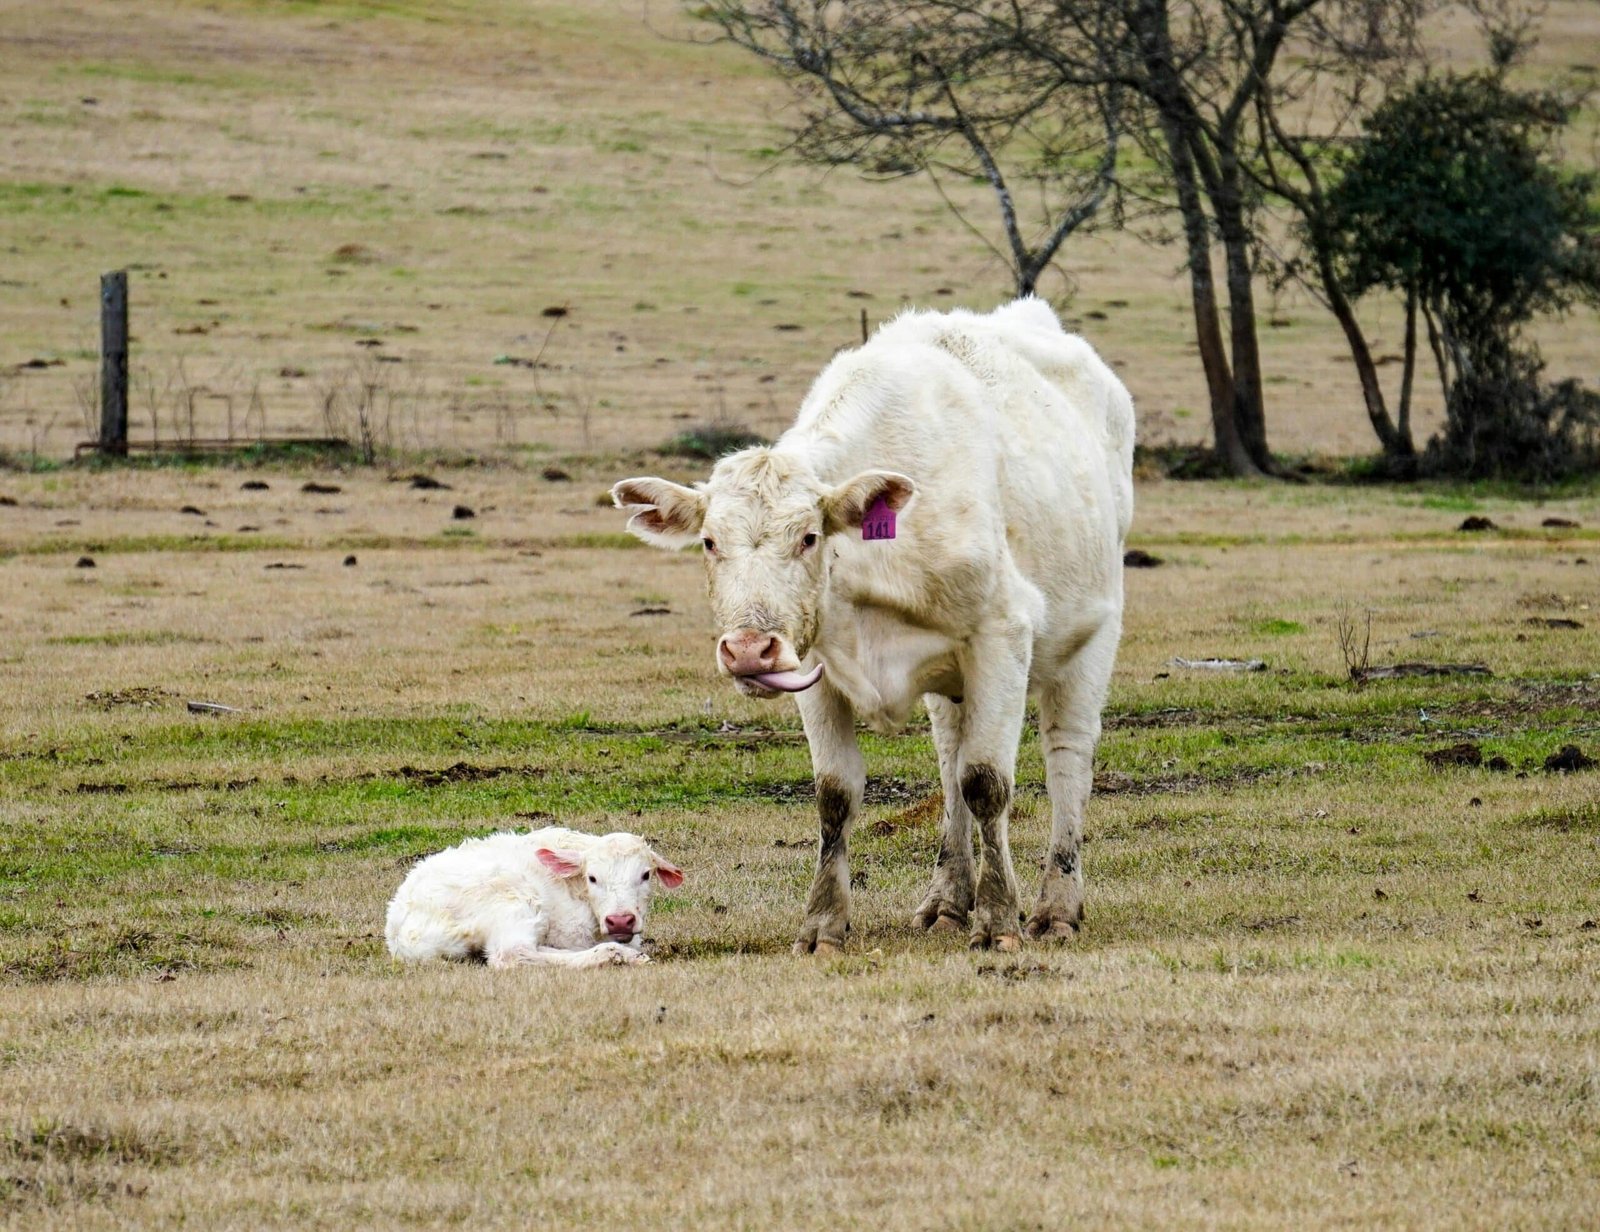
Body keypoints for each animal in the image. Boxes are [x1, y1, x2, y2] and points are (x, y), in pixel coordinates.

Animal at [392, 825, 688, 972]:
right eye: (592, 878)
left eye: (646, 875)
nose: (620, 921)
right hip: (514, 901)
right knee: (512, 954)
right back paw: (619, 956)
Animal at [614, 297, 1139, 947]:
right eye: (709, 542)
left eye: (809, 537)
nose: (751, 650)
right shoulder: (814, 664)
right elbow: (837, 793)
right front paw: (823, 923)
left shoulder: (1002, 635)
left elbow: (987, 781)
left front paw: (998, 919)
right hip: (951, 684)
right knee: (949, 758)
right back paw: (946, 899)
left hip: (1092, 638)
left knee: (1067, 754)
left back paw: (1056, 905)